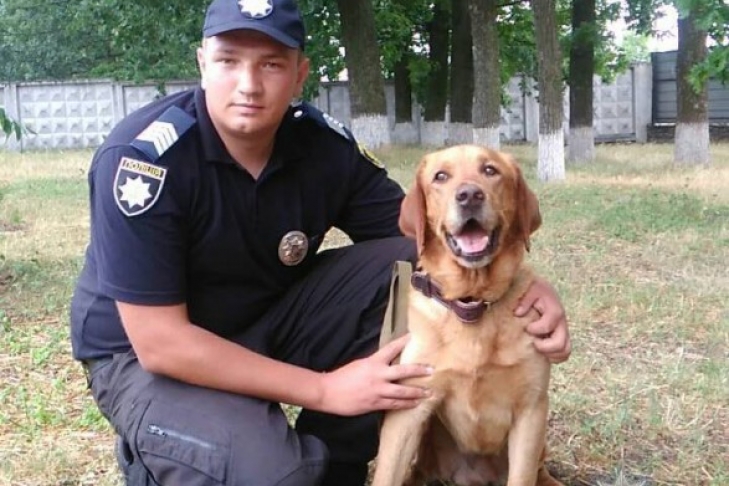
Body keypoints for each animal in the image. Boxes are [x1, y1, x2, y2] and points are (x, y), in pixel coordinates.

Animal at [372, 145, 563, 486]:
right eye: (441, 177)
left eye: (490, 170)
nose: (470, 195)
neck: (472, 302)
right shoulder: (409, 408)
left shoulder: (531, 409)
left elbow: (522, 477)